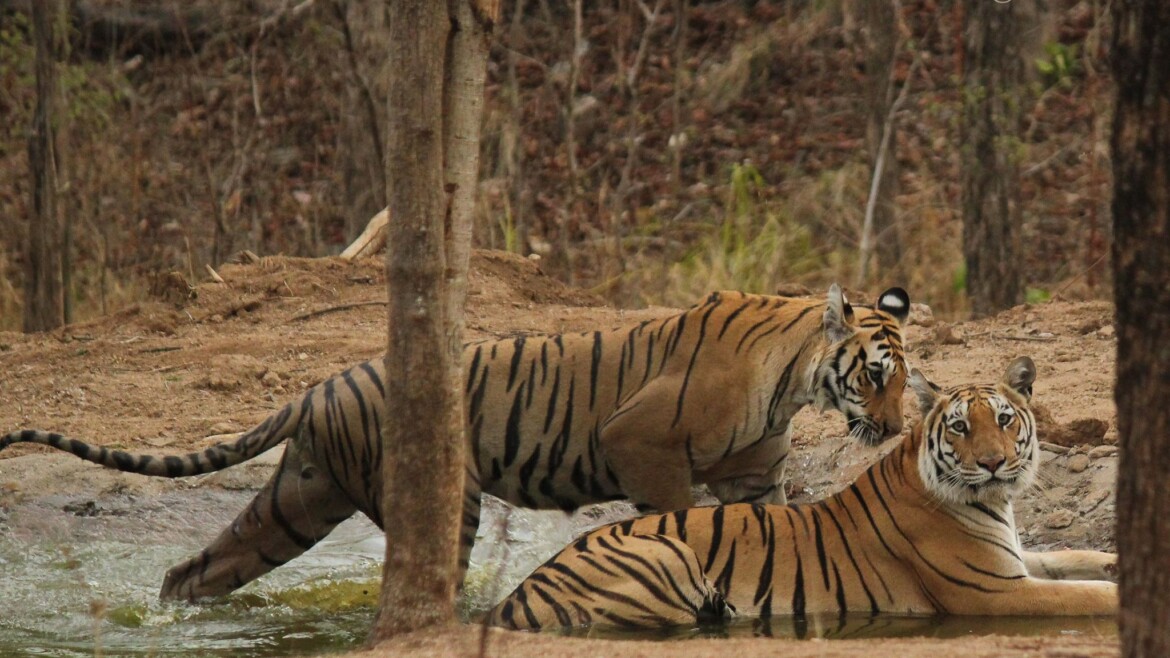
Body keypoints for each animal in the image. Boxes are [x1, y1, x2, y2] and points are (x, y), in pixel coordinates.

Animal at [1, 284, 911, 602]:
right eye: (875, 376)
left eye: (908, 380)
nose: (896, 429)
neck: (794, 379)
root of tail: (314, 387)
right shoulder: (641, 443)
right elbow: (672, 517)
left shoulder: (753, 477)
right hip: (439, 495)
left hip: (299, 500)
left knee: (198, 567)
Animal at [487, 356, 1118, 631]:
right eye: (961, 427)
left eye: (1006, 420)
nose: (992, 463)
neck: (990, 503)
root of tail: (516, 593)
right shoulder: (992, 590)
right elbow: (1087, 595)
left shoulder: (1018, 560)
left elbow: (1078, 556)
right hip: (666, 555)